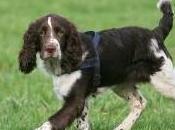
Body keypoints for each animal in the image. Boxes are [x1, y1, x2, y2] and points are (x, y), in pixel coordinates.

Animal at [18, 0, 174, 130]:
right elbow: (83, 125)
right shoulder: (82, 103)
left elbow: (51, 122)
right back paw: (121, 127)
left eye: (60, 32)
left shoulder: (75, 100)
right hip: (122, 84)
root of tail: (155, 34)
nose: (51, 48)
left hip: (164, 80)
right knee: (139, 103)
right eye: (41, 33)